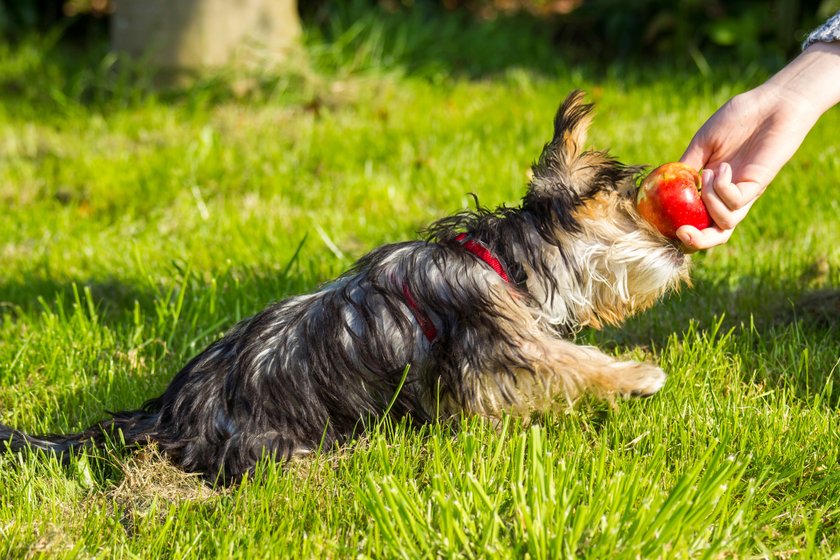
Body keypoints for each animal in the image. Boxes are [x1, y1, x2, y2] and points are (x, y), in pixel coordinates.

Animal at [1, 91, 688, 482]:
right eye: (629, 208)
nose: (681, 249)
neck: (504, 261)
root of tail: (163, 415)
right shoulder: (498, 336)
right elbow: (569, 358)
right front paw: (637, 376)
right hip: (273, 445)